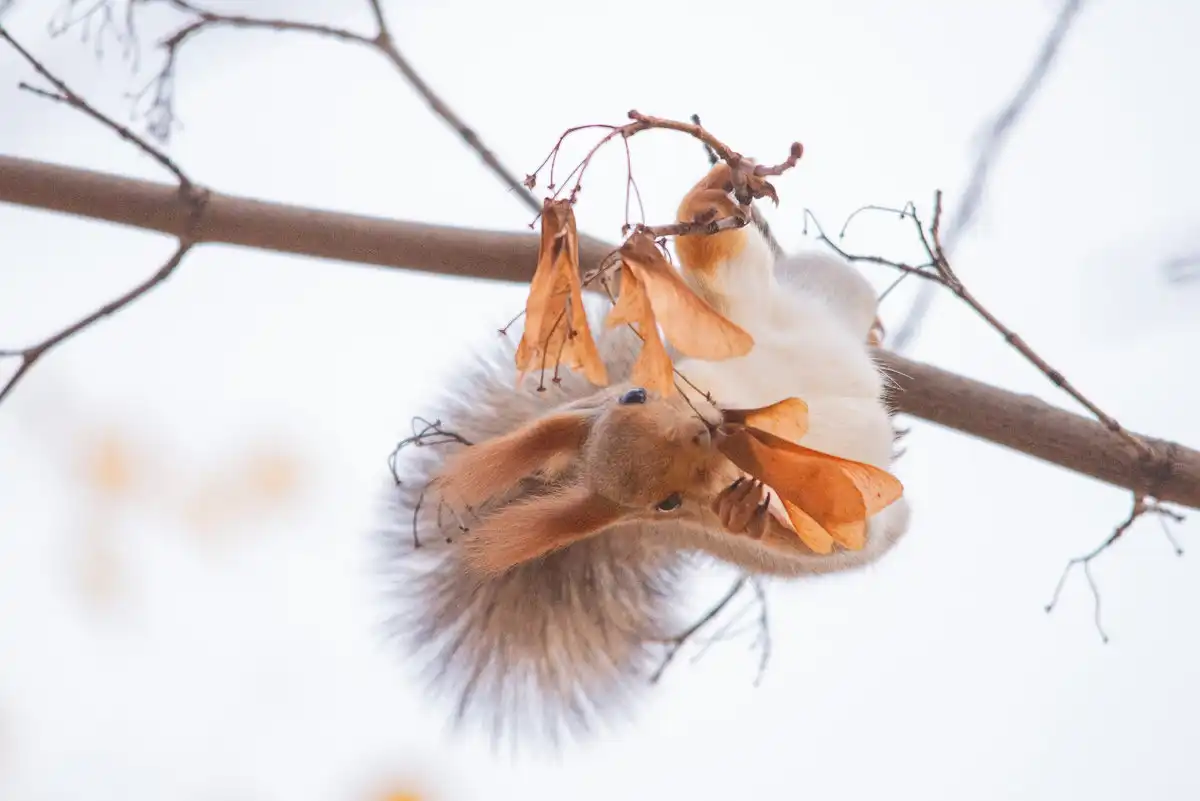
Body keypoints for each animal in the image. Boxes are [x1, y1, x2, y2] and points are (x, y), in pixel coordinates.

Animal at [382, 162, 911, 745]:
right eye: (668, 503)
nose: (704, 434)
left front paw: (708, 199)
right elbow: (831, 532)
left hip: (823, 286)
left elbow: (714, 262)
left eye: (635, 394)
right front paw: (747, 511)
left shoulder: (728, 325)